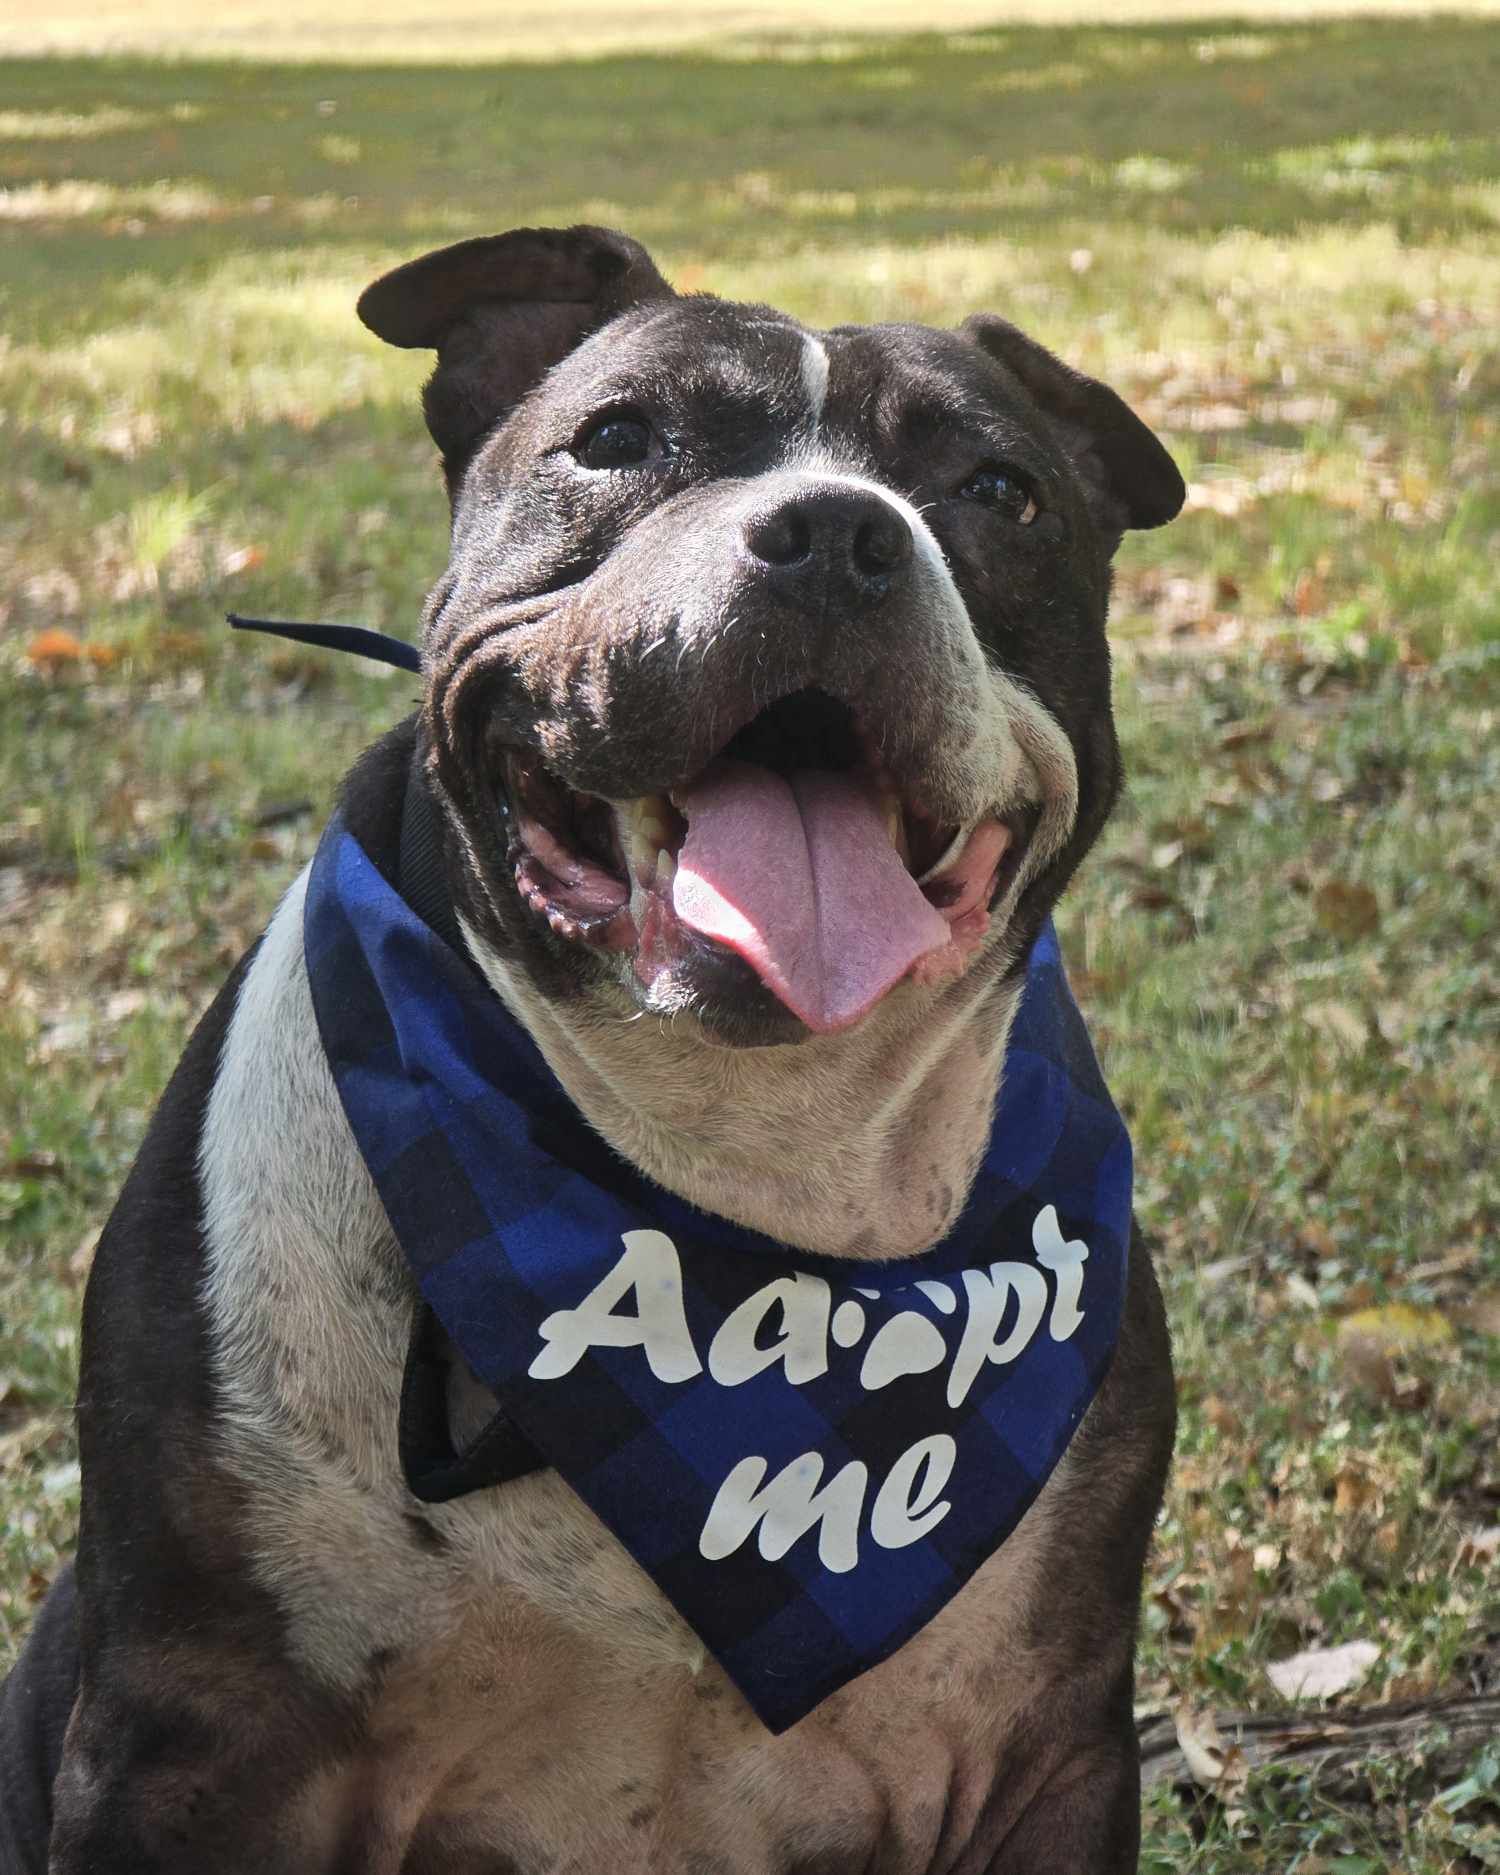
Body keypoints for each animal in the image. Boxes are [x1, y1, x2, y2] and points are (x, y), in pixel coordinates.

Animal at [5, 226, 1192, 1867]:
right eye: (619, 438)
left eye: (1000, 491)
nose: (837, 534)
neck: (736, 1186)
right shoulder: (185, 1742)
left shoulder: (1044, 1748)